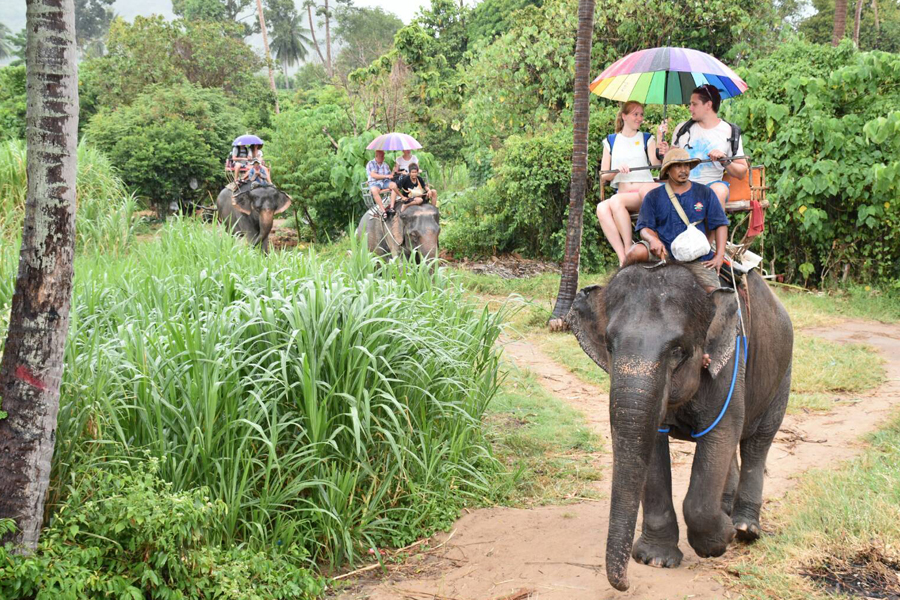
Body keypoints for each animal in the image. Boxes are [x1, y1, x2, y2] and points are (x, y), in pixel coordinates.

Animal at [568, 264, 792, 592]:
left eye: (677, 350)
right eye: (609, 345)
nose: (624, 583)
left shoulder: (729, 368)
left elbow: (721, 432)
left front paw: (720, 540)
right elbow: (653, 445)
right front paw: (655, 559)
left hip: (783, 372)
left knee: (757, 441)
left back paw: (744, 528)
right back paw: (727, 512)